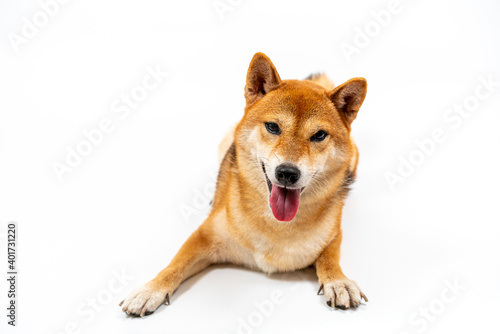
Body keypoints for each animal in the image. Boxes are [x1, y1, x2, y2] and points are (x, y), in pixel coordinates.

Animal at [120, 51, 368, 316]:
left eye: (319, 135)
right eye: (273, 127)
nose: (287, 173)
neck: (277, 225)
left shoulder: (333, 236)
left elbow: (330, 259)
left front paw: (338, 282)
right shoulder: (203, 236)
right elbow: (174, 265)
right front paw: (150, 290)